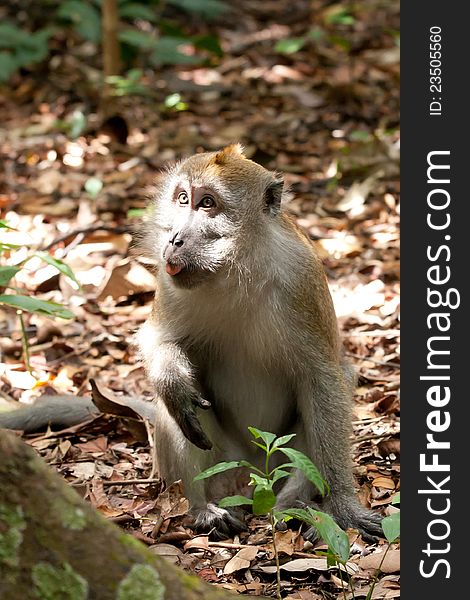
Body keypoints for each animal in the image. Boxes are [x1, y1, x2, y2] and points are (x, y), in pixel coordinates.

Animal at [135, 144, 382, 540]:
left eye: (207, 204)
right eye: (182, 198)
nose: (174, 239)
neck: (237, 269)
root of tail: (253, 475)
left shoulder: (301, 279)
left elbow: (324, 379)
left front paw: (343, 504)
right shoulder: (169, 282)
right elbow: (158, 340)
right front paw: (174, 384)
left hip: (276, 458)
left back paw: (292, 505)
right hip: (223, 460)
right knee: (177, 411)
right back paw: (204, 508)